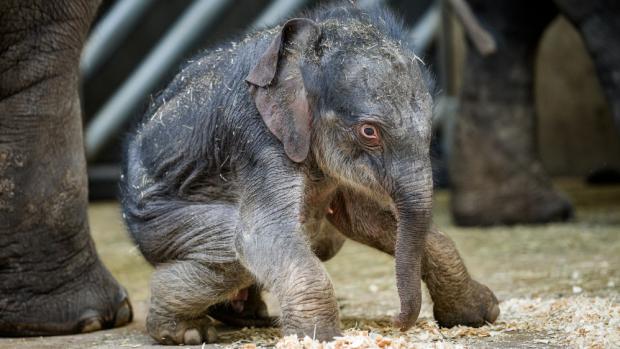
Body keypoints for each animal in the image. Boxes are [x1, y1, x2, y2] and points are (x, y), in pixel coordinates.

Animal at [120, 2, 498, 344]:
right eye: (369, 132)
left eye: (431, 131)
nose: (397, 321)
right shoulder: (256, 137)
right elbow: (261, 234)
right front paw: (322, 337)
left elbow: (367, 220)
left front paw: (481, 313)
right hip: (157, 226)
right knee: (229, 252)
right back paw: (187, 330)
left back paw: (247, 317)